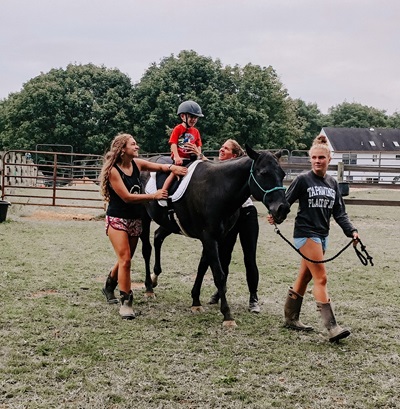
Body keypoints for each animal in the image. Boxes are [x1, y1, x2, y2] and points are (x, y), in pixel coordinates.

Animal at [139, 145, 290, 326]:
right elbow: (219, 275)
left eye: (282, 174)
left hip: (169, 224)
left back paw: (155, 278)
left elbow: (203, 268)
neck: (218, 189)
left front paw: (196, 301)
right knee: (146, 249)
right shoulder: (209, 238)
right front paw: (227, 315)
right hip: (144, 217)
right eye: (263, 173)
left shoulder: (216, 238)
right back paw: (149, 287)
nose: (282, 209)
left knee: (157, 237)